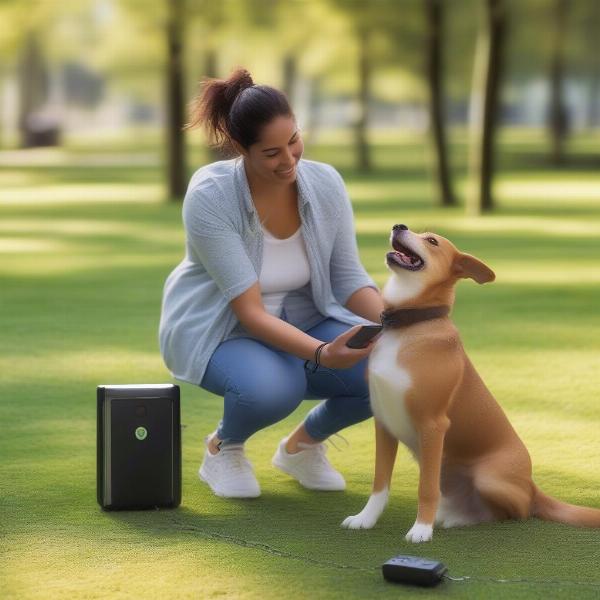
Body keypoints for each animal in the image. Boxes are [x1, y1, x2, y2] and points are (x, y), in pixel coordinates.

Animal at [342, 225, 600, 544]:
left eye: (431, 241)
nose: (399, 226)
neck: (408, 327)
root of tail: (532, 486)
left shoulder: (433, 426)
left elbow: (425, 488)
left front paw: (421, 529)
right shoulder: (384, 424)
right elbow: (380, 482)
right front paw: (365, 518)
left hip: (490, 478)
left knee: (517, 512)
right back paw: (454, 517)